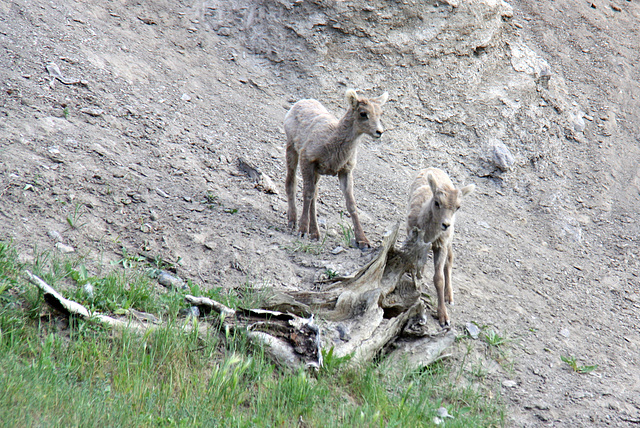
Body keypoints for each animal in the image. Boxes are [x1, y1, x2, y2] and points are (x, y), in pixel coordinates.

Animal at [286, 88, 390, 247]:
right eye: (363, 113)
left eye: (380, 113)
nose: (379, 132)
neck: (333, 141)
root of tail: (301, 102)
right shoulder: (307, 160)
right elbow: (307, 193)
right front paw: (302, 231)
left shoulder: (345, 172)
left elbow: (351, 204)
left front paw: (363, 241)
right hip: (292, 149)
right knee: (292, 182)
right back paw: (292, 222)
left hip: (317, 173)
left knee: (315, 196)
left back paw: (315, 234)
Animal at [404, 168, 476, 328]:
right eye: (437, 203)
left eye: (458, 207)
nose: (446, 225)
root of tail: (433, 169)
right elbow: (415, 266)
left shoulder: (441, 246)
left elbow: (439, 279)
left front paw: (444, 318)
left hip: (449, 241)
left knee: (449, 261)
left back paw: (449, 297)